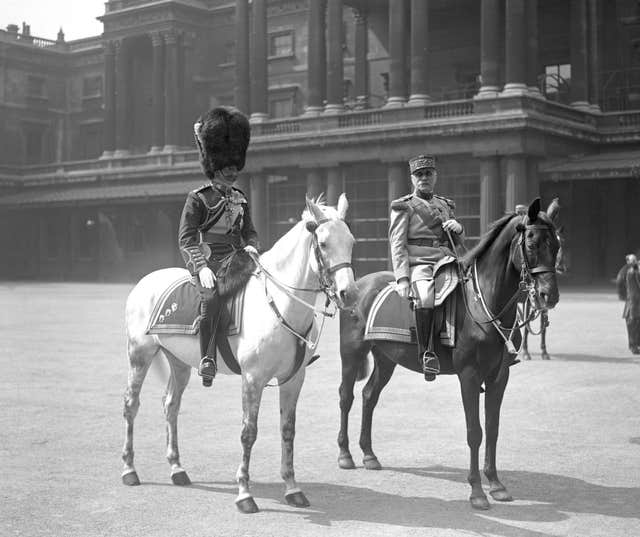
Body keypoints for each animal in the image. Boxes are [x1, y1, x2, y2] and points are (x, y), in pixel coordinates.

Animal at [122, 195, 358, 512]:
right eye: (323, 243)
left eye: (351, 242)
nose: (349, 294)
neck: (281, 305)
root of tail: (145, 281)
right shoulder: (253, 379)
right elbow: (249, 432)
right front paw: (245, 493)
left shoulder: (293, 379)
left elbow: (288, 431)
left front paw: (292, 488)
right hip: (140, 355)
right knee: (131, 405)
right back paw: (129, 469)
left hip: (179, 362)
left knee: (170, 405)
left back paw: (177, 468)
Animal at [336, 198, 560, 510]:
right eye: (531, 243)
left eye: (557, 245)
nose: (549, 295)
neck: (484, 302)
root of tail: (357, 287)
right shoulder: (469, 376)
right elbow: (475, 432)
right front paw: (477, 491)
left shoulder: (499, 376)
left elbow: (493, 428)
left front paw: (496, 484)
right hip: (352, 353)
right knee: (347, 396)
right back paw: (345, 454)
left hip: (387, 358)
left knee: (369, 396)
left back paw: (369, 454)